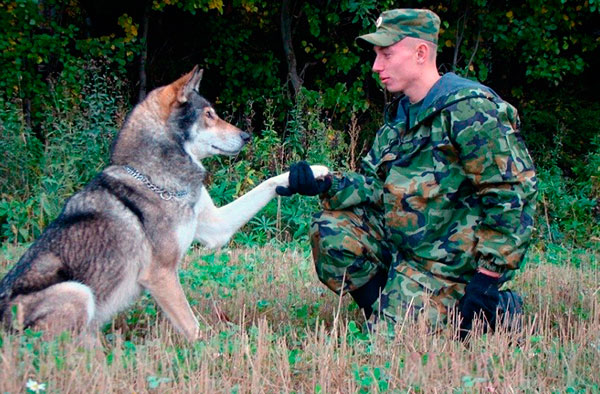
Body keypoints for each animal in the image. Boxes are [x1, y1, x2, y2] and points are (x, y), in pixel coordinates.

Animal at [0, 66, 328, 340]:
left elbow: (268, 183)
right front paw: (215, 352)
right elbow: (194, 329)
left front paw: (313, 171)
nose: (247, 136)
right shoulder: (161, 275)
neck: (156, 179)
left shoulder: (216, 228)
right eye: (209, 114)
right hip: (77, 292)